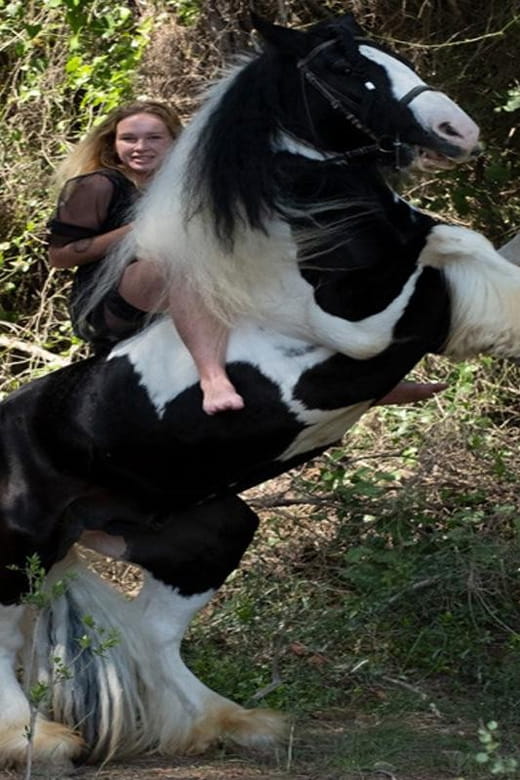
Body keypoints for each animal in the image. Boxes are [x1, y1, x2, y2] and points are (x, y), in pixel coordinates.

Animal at [2, 11, 520, 770]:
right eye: (344, 68)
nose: (458, 130)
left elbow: (471, 250)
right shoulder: (365, 325)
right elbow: (442, 241)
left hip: (202, 536)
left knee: (153, 632)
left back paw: (225, 725)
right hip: (17, 549)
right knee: (4, 635)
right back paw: (36, 741)